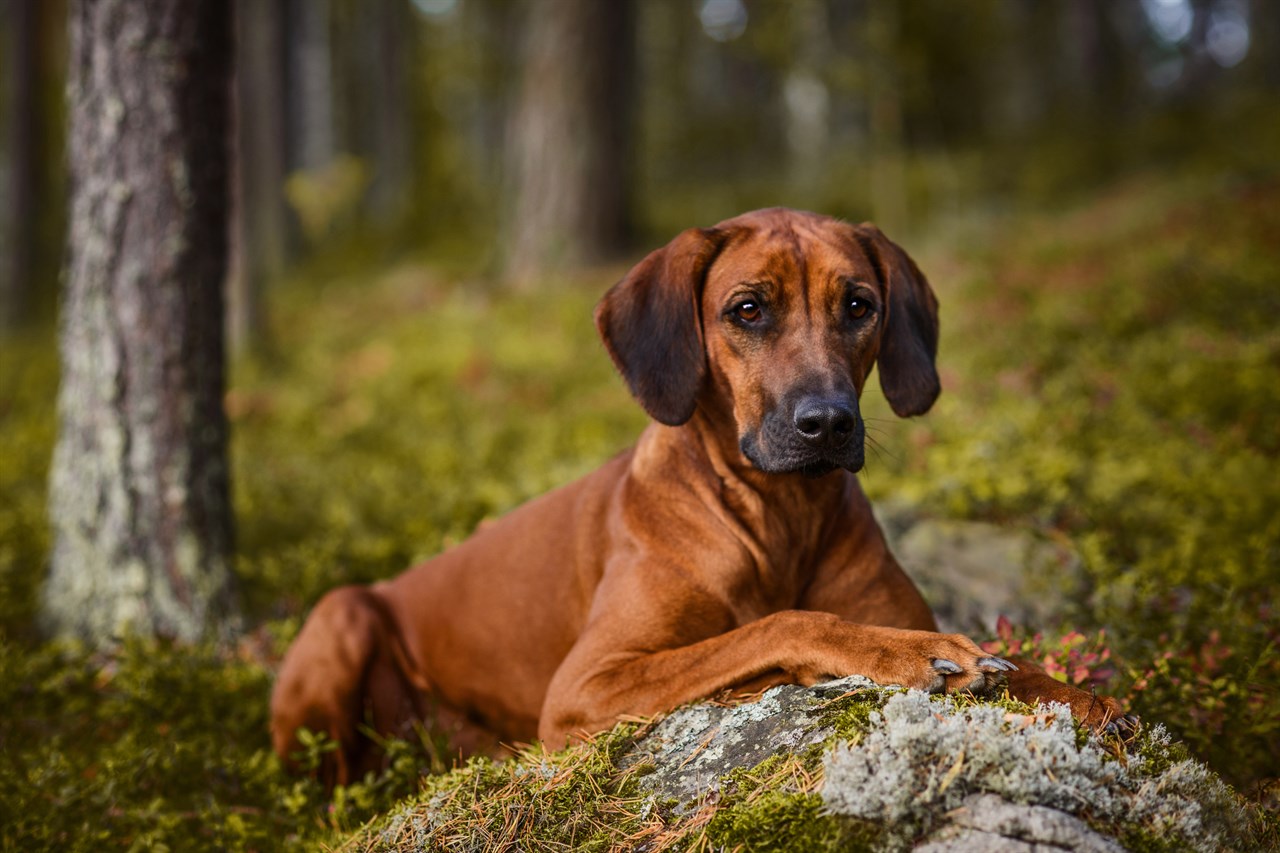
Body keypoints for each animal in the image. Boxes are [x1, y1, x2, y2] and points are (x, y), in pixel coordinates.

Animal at [272, 207, 1131, 783]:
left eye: (859, 304)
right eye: (747, 309)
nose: (827, 423)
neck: (778, 515)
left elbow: (1025, 668)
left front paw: (1082, 698)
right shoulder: (586, 686)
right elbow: (778, 624)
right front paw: (902, 653)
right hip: (342, 616)